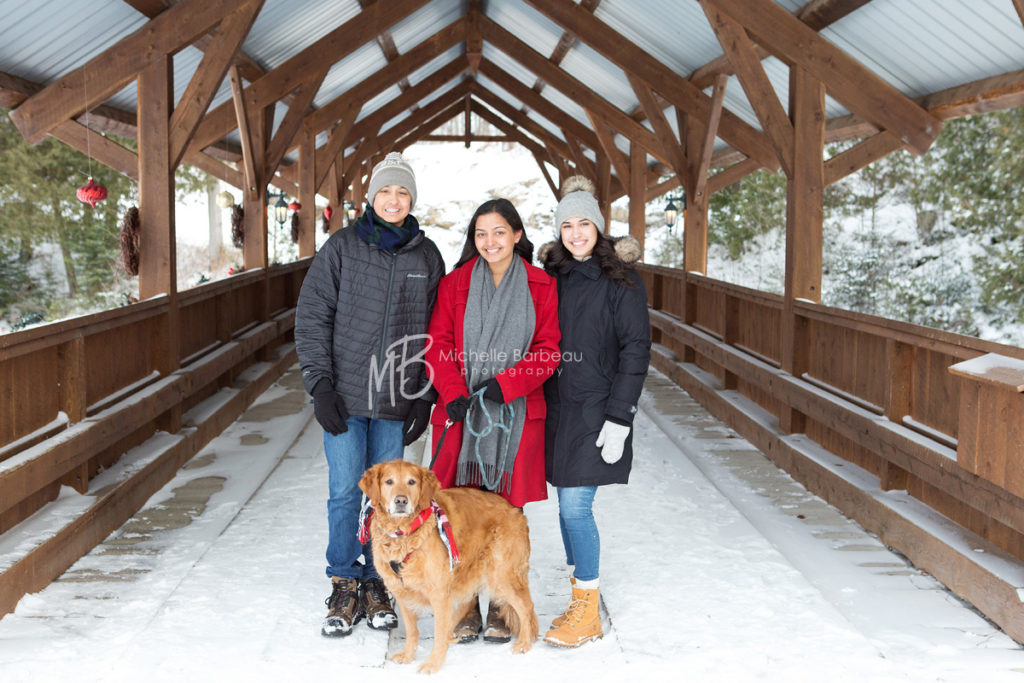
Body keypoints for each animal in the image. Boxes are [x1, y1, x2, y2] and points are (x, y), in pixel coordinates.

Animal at [358, 458, 540, 671]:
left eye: (411, 482)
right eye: (389, 482)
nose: (401, 501)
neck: (403, 534)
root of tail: (516, 511)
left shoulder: (439, 593)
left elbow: (438, 632)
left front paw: (433, 664)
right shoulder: (402, 591)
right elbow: (412, 631)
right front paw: (408, 655)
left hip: (501, 575)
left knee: (526, 607)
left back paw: (524, 644)